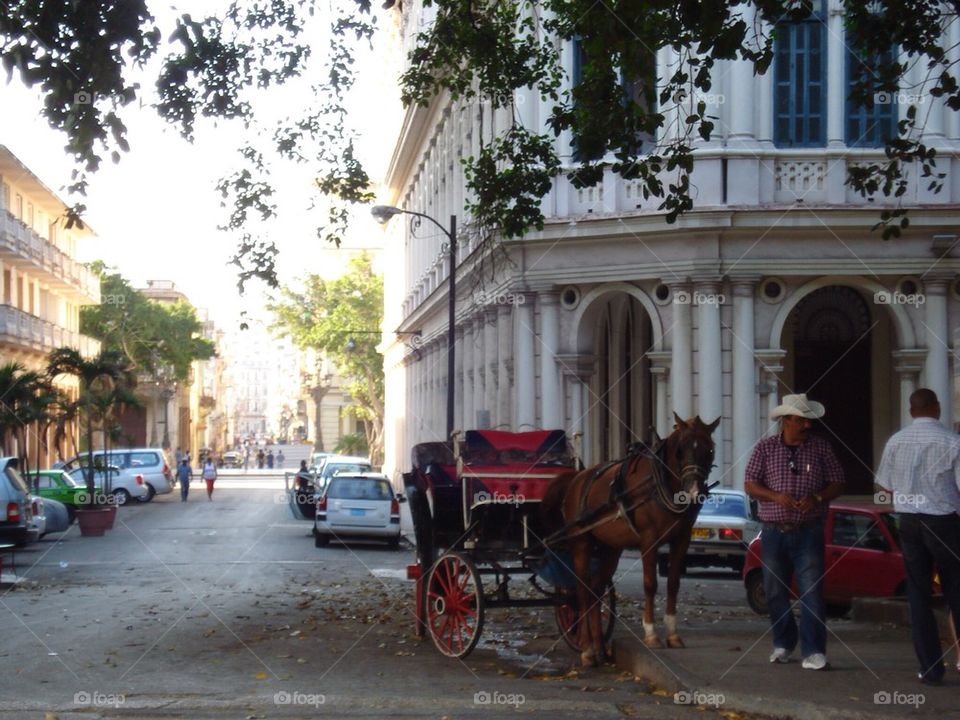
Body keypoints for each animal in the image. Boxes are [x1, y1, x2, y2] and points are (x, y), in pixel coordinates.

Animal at [544, 414, 716, 668]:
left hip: (609, 548)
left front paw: (673, 635)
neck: (658, 483)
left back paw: (599, 648)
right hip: (581, 543)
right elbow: (650, 584)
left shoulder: (682, 539)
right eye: (679, 451)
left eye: (710, 450)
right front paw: (651, 634)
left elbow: (673, 583)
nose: (694, 492)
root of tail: (577, 478)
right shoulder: (649, 539)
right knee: (582, 591)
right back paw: (586, 649)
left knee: (596, 590)